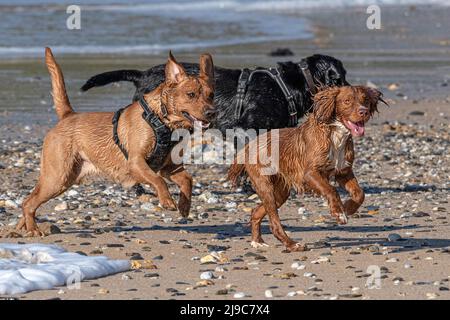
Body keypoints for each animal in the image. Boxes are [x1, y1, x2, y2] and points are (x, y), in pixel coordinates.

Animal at [14, 48, 215, 238]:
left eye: (211, 95)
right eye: (191, 94)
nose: (212, 112)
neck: (162, 120)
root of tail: (68, 115)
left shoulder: (169, 167)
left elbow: (188, 180)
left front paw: (184, 206)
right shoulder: (136, 162)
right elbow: (158, 181)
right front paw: (167, 201)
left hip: (62, 180)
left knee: (29, 202)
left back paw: (19, 229)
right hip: (57, 177)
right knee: (29, 202)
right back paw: (32, 230)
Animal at [229, 85, 384, 252]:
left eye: (365, 100)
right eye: (347, 101)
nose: (364, 112)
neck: (335, 135)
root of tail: (249, 145)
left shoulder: (343, 171)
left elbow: (359, 193)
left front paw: (348, 208)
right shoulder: (309, 173)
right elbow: (331, 190)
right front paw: (338, 213)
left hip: (280, 192)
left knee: (256, 211)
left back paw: (257, 241)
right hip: (265, 185)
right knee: (274, 223)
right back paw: (292, 244)